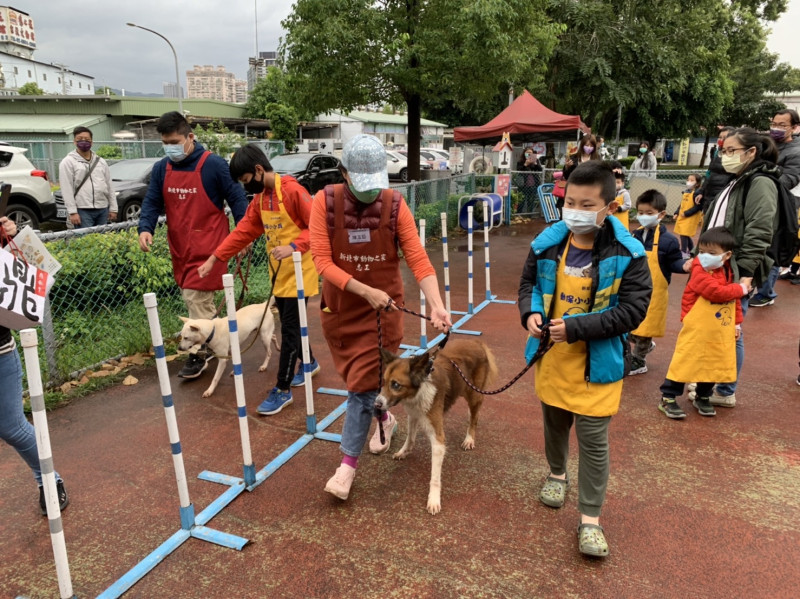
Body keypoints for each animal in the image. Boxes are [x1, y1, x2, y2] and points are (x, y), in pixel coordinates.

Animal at [376, 338, 500, 516]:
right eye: (384, 382)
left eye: (396, 385)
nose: (376, 404)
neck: (418, 391)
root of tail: (476, 341)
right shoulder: (414, 414)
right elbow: (410, 438)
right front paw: (404, 452)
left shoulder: (438, 439)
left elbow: (434, 477)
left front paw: (433, 499)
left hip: (474, 394)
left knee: (474, 417)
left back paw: (469, 438)